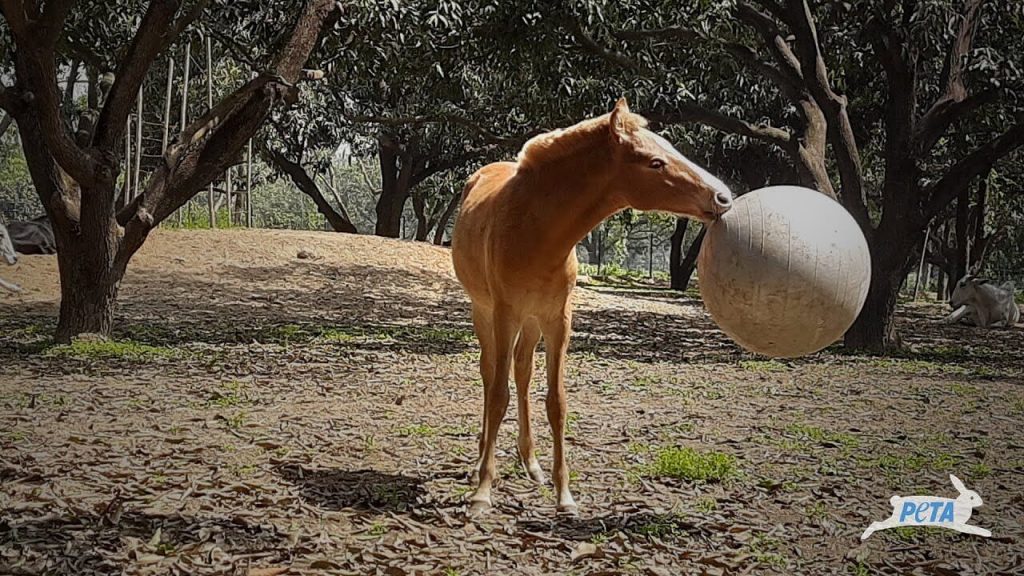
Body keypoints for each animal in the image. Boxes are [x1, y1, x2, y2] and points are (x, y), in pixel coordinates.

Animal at [452, 98, 733, 516]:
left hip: (532, 322)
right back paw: (479, 465)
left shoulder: (559, 320)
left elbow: (556, 402)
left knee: (522, 372)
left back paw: (530, 464)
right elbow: (499, 394)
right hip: (484, 312)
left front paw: (564, 496)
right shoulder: (505, 313)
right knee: (490, 375)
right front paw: (484, 492)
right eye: (654, 162)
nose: (723, 197)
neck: (535, 230)